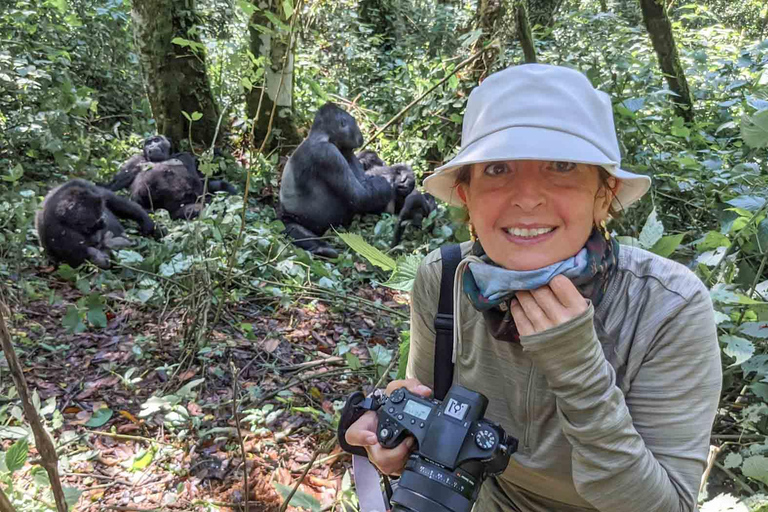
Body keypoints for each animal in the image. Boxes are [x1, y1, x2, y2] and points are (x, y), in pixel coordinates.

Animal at [280, 102, 392, 258]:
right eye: (354, 123)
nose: (360, 135)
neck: (322, 136)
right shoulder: (329, 154)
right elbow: (360, 197)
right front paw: (387, 183)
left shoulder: (345, 149)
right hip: (289, 219)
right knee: (295, 229)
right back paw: (321, 247)